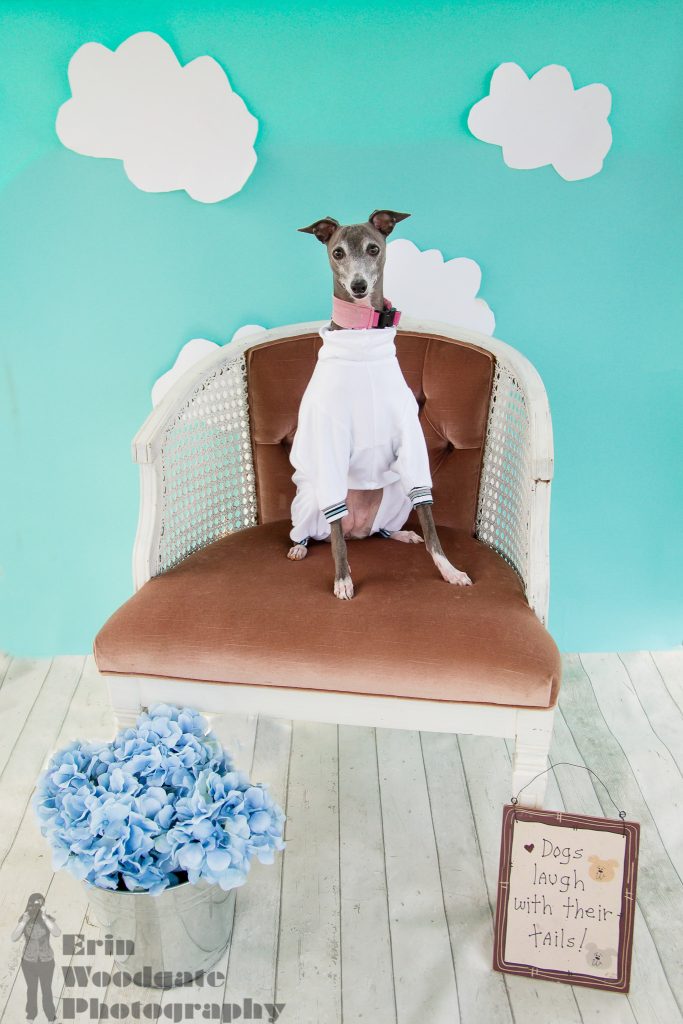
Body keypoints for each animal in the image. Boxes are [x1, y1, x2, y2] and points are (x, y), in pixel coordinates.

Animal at [287, 208, 472, 600]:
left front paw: (449, 570)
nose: (358, 286)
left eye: (374, 248)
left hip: (396, 490)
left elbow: (431, 522)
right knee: (324, 534)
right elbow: (337, 543)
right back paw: (300, 546)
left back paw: (399, 533)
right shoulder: (330, 441)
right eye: (337, 252)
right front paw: (343, 580)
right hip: (309, 498)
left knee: (375, 531)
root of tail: (358, 528)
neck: (363, 337)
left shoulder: (411, 441)